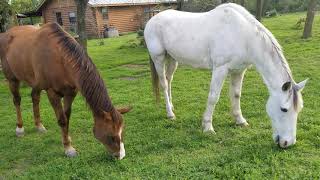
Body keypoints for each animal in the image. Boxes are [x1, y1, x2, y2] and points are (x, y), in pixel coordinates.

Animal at [0, 22, 131, 159]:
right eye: (111, 136)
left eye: (122, 132)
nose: (120, 155)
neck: (60, 58)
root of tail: (6, 34)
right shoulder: (52, 92)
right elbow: (62, 120)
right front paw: (68, 148)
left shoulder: (70, 92)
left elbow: (66, 117)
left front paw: (67, 138)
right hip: (12, 79)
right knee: (17, 101)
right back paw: (20, 128)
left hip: (35, 83)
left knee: (35, 98)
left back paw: (39, 126)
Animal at [144, 3, 308, 149]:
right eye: (284, 109)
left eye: (299, 109)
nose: (288, 143)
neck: (243, 35)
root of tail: (152, 19)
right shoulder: (220, 69)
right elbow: (213, 98)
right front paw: (208, 127)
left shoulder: (238, 71)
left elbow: (236, 95)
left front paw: (240, 120)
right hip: (158, 58)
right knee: (163, 84)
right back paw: (170, 114)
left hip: (173, 58)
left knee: (169, 79)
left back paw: (172, 106)